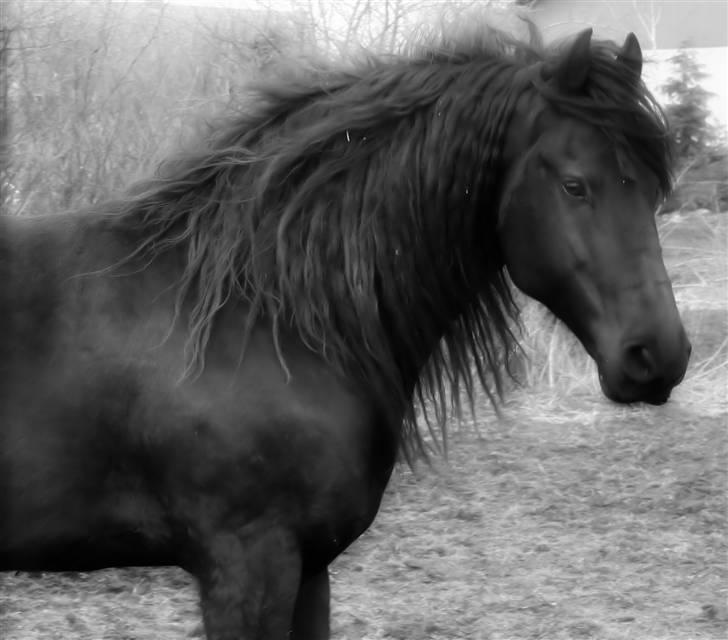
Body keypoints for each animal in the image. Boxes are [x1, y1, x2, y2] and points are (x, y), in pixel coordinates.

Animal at [1, 23, 688, 640]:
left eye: (653, 188)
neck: (263, 315)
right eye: (575, 185)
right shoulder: (249, 566)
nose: (659, 354)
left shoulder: (310, 568)